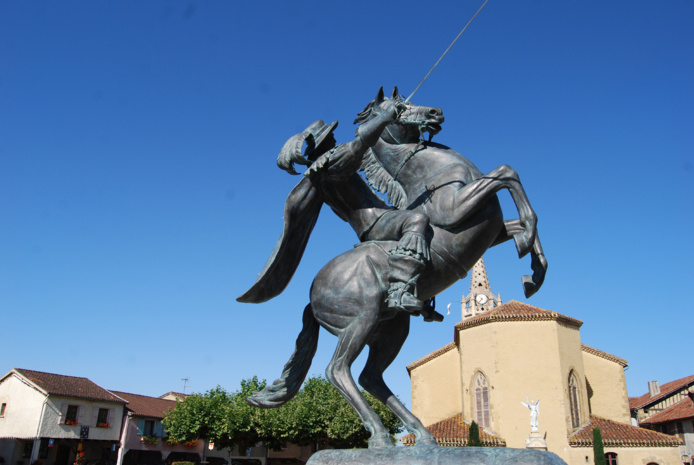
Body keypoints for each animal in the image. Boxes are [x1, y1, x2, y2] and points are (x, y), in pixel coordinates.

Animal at [239, 86, 548, 446]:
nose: (435, 112)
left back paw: (422, 434)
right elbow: (506, 173)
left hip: (390, 329)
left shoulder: (490, 229)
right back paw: (380, 434)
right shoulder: (455, 209)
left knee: (371, 377)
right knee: (338, 370)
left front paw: (535, 270)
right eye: (402, 106)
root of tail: (312, 294)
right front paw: (529, 242)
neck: (432, 176)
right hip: (361, 320)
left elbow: (516, 219)